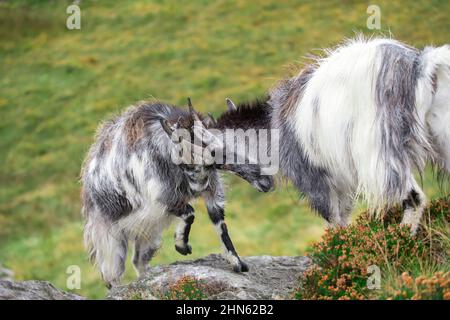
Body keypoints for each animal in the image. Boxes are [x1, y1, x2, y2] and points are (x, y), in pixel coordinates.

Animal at [81, 98, 272, 288]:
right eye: (217, 153)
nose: (267, 182)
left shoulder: (211, 192)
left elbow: (220, 225)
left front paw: (238, 263)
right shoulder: (162, 201)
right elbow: (190, 213)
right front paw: (182, 246)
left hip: (149, 234)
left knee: (138, 261)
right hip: (111, 241)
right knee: (111, 276)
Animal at [221, 37, 450, 234]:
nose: (263, 188)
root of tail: (419, 66)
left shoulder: (315, 179)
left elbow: (333, 220)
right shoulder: (340, 182)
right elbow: (344, 215)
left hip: (380, 152)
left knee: (413, 197)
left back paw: (402, 237)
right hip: (441, 131)